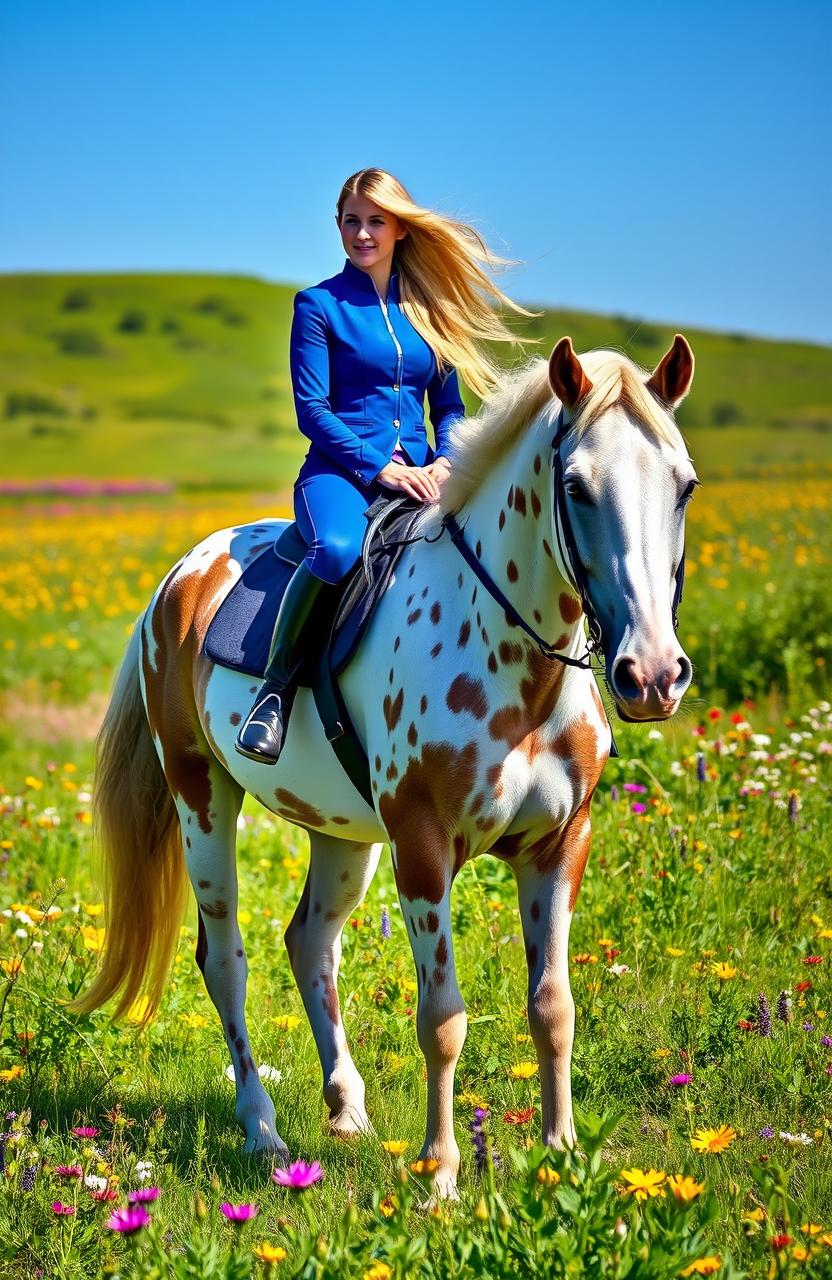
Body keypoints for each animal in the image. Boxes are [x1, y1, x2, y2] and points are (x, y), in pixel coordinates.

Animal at [70, 335, 697, 1199]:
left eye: (684, 486)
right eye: (574, 485)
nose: (653, 676)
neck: (516, 663)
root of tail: (179, 580)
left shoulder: (559, 844)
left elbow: (554, 1007)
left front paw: (562, 1157)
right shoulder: (424, 849)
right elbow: (442, 1020)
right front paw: (439, 1174)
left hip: (343, 836)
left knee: (310, 944)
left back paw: (346, 1108)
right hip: (204, 800)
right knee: (225, 960)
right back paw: (262, 1129)